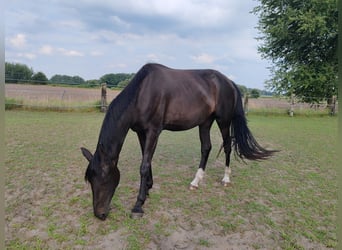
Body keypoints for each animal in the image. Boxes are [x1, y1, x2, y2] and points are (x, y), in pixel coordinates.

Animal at [80, 63, 276, 220]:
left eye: (104, 178)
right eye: (90, 180)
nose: (100, 214)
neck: (142, 93)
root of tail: (229, 82)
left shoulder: (153, 131)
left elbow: (144, 165)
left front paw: (138, 205)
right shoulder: (141, 133)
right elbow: (147, 161)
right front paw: (148, 189)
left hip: (223, 121)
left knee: (227, 146)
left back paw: (226, 178)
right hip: (205, 122)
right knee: (206, 148)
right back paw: (195, 182)